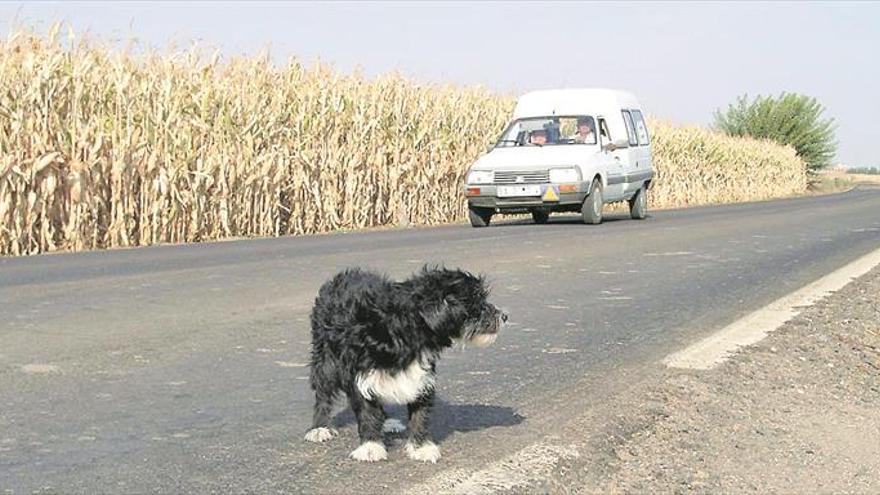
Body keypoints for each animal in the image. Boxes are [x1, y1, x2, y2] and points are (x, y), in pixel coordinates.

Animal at [304, 268, 506, 464]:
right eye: (476, 302)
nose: (504, 316)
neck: (405, 329)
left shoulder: (422, 377)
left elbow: (420, 414)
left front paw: (421, 447)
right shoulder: (361, 371)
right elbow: (367, 410)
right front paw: (370, 446)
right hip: (326, 358)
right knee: (323, 391)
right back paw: (319, 427)